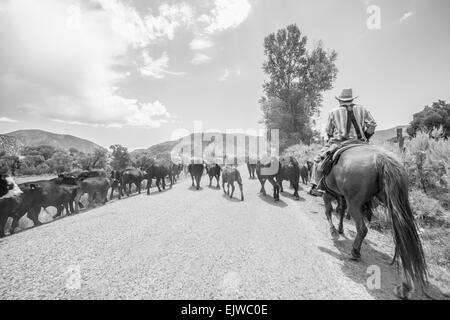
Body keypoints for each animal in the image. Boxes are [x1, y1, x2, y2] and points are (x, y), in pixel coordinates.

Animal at [324, 146, 426, 300]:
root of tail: (381, 158)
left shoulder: (328, 192)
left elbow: (329, 211)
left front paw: (334, 231)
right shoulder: (339, 195)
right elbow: (340, 210)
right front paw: (340, 229)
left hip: (355, 203)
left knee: (362, 229)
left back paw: (355, 252)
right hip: (394, 202)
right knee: (404, 238)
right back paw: (405, 286)